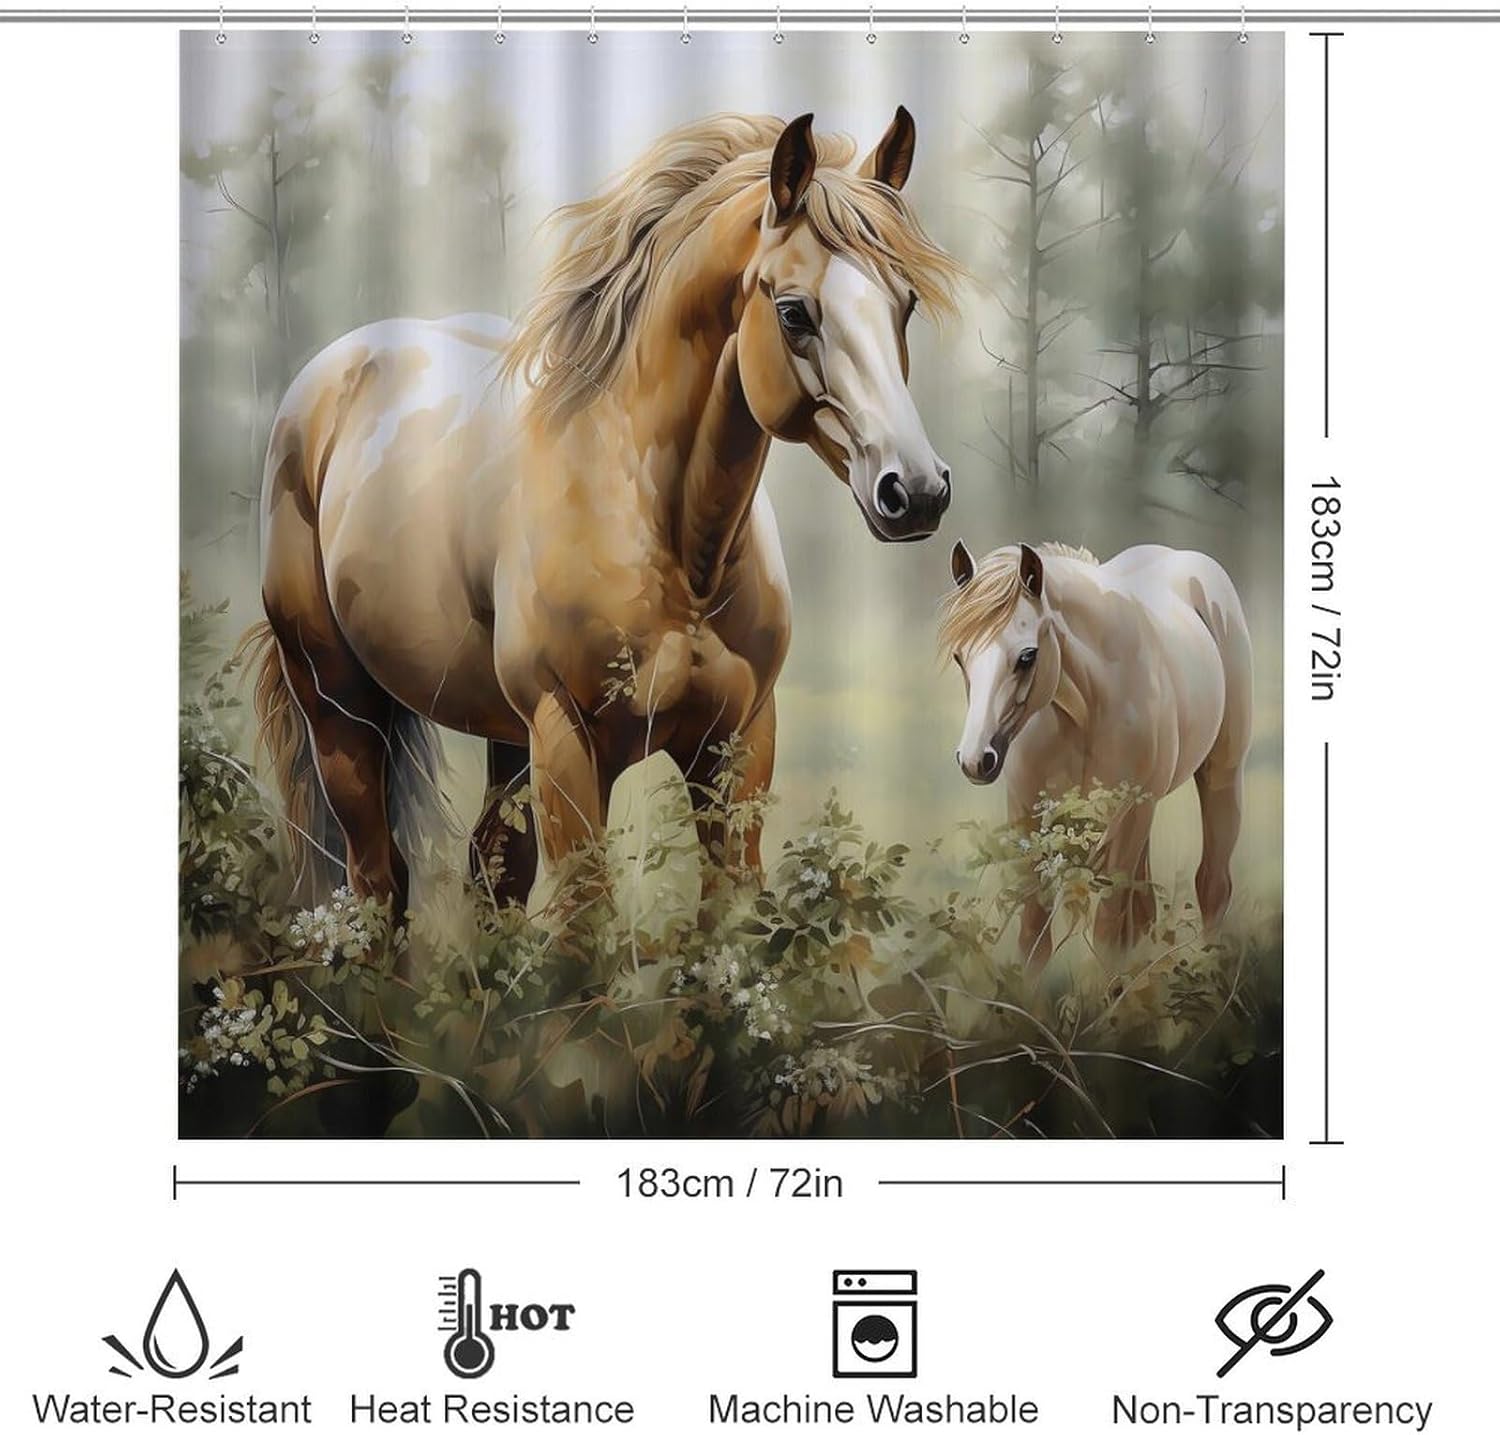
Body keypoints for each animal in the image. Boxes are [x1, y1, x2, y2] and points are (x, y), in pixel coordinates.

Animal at [244, 109, 962, 920]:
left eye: (904, 304)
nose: (916, 490)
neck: (670, 540)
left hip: (504, 736)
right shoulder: (568, 740)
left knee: (492, 872)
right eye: (794, 312)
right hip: (339, 704)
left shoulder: (738, 743)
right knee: (376, 879)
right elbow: (587, 923)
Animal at [940, 540, 1253, 972]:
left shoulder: (1126, 816)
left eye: (1027, 656)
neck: (1087, 706)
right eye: (960, 657)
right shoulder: (1027, 813)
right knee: (1144, 910)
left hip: (1219, 775)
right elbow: (1034, 934)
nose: (974, 759)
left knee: (1212, 885)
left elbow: (1106, 930)